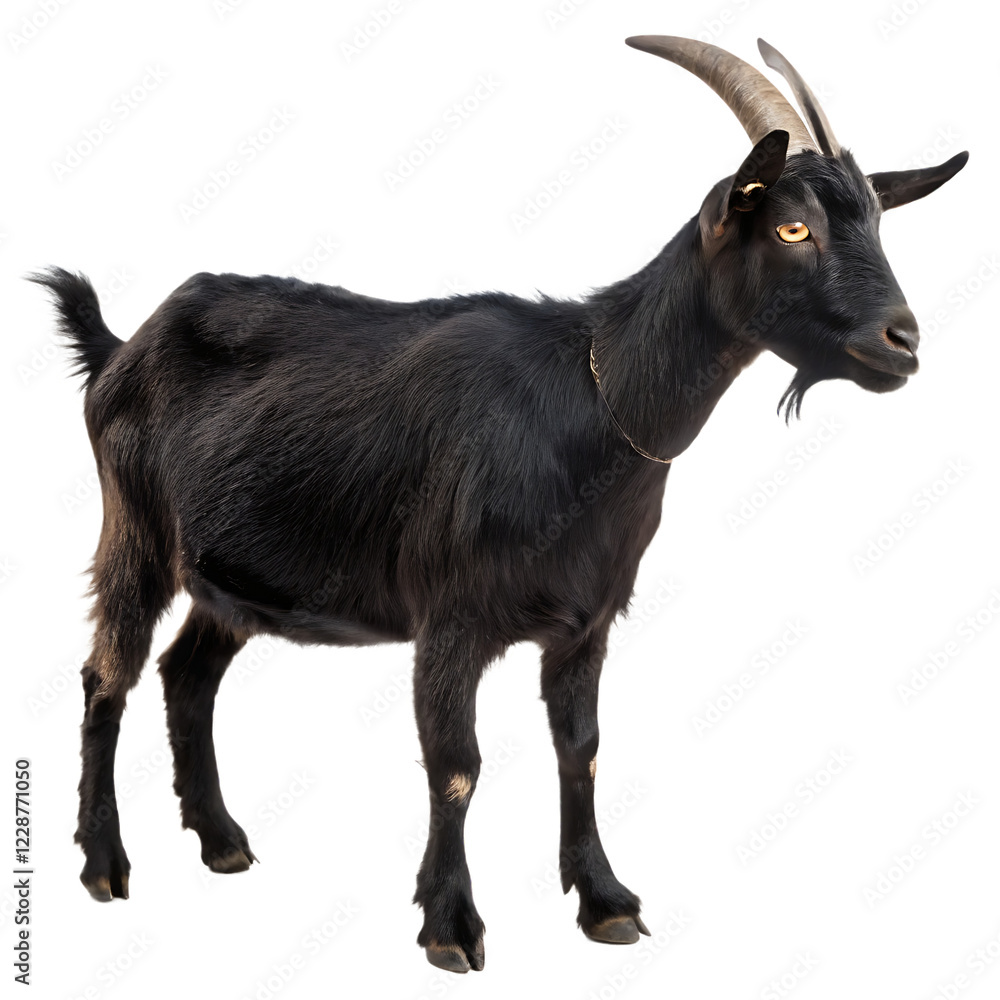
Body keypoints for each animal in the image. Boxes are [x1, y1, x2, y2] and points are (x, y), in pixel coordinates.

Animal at [34, 36, 966, 973]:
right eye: (792, 227)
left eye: (876, 223)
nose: (903, 341)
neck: (592, 403)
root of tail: (122, 345)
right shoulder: (451, 617)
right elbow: (457, 764)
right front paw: (451, 925)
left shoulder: (587, 622)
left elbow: (581, 753)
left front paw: (604, 901)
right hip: (135, 530)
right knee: (106, 675)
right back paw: (105, 864)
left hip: (232, 572)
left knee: (187, 675)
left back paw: (222, 841)